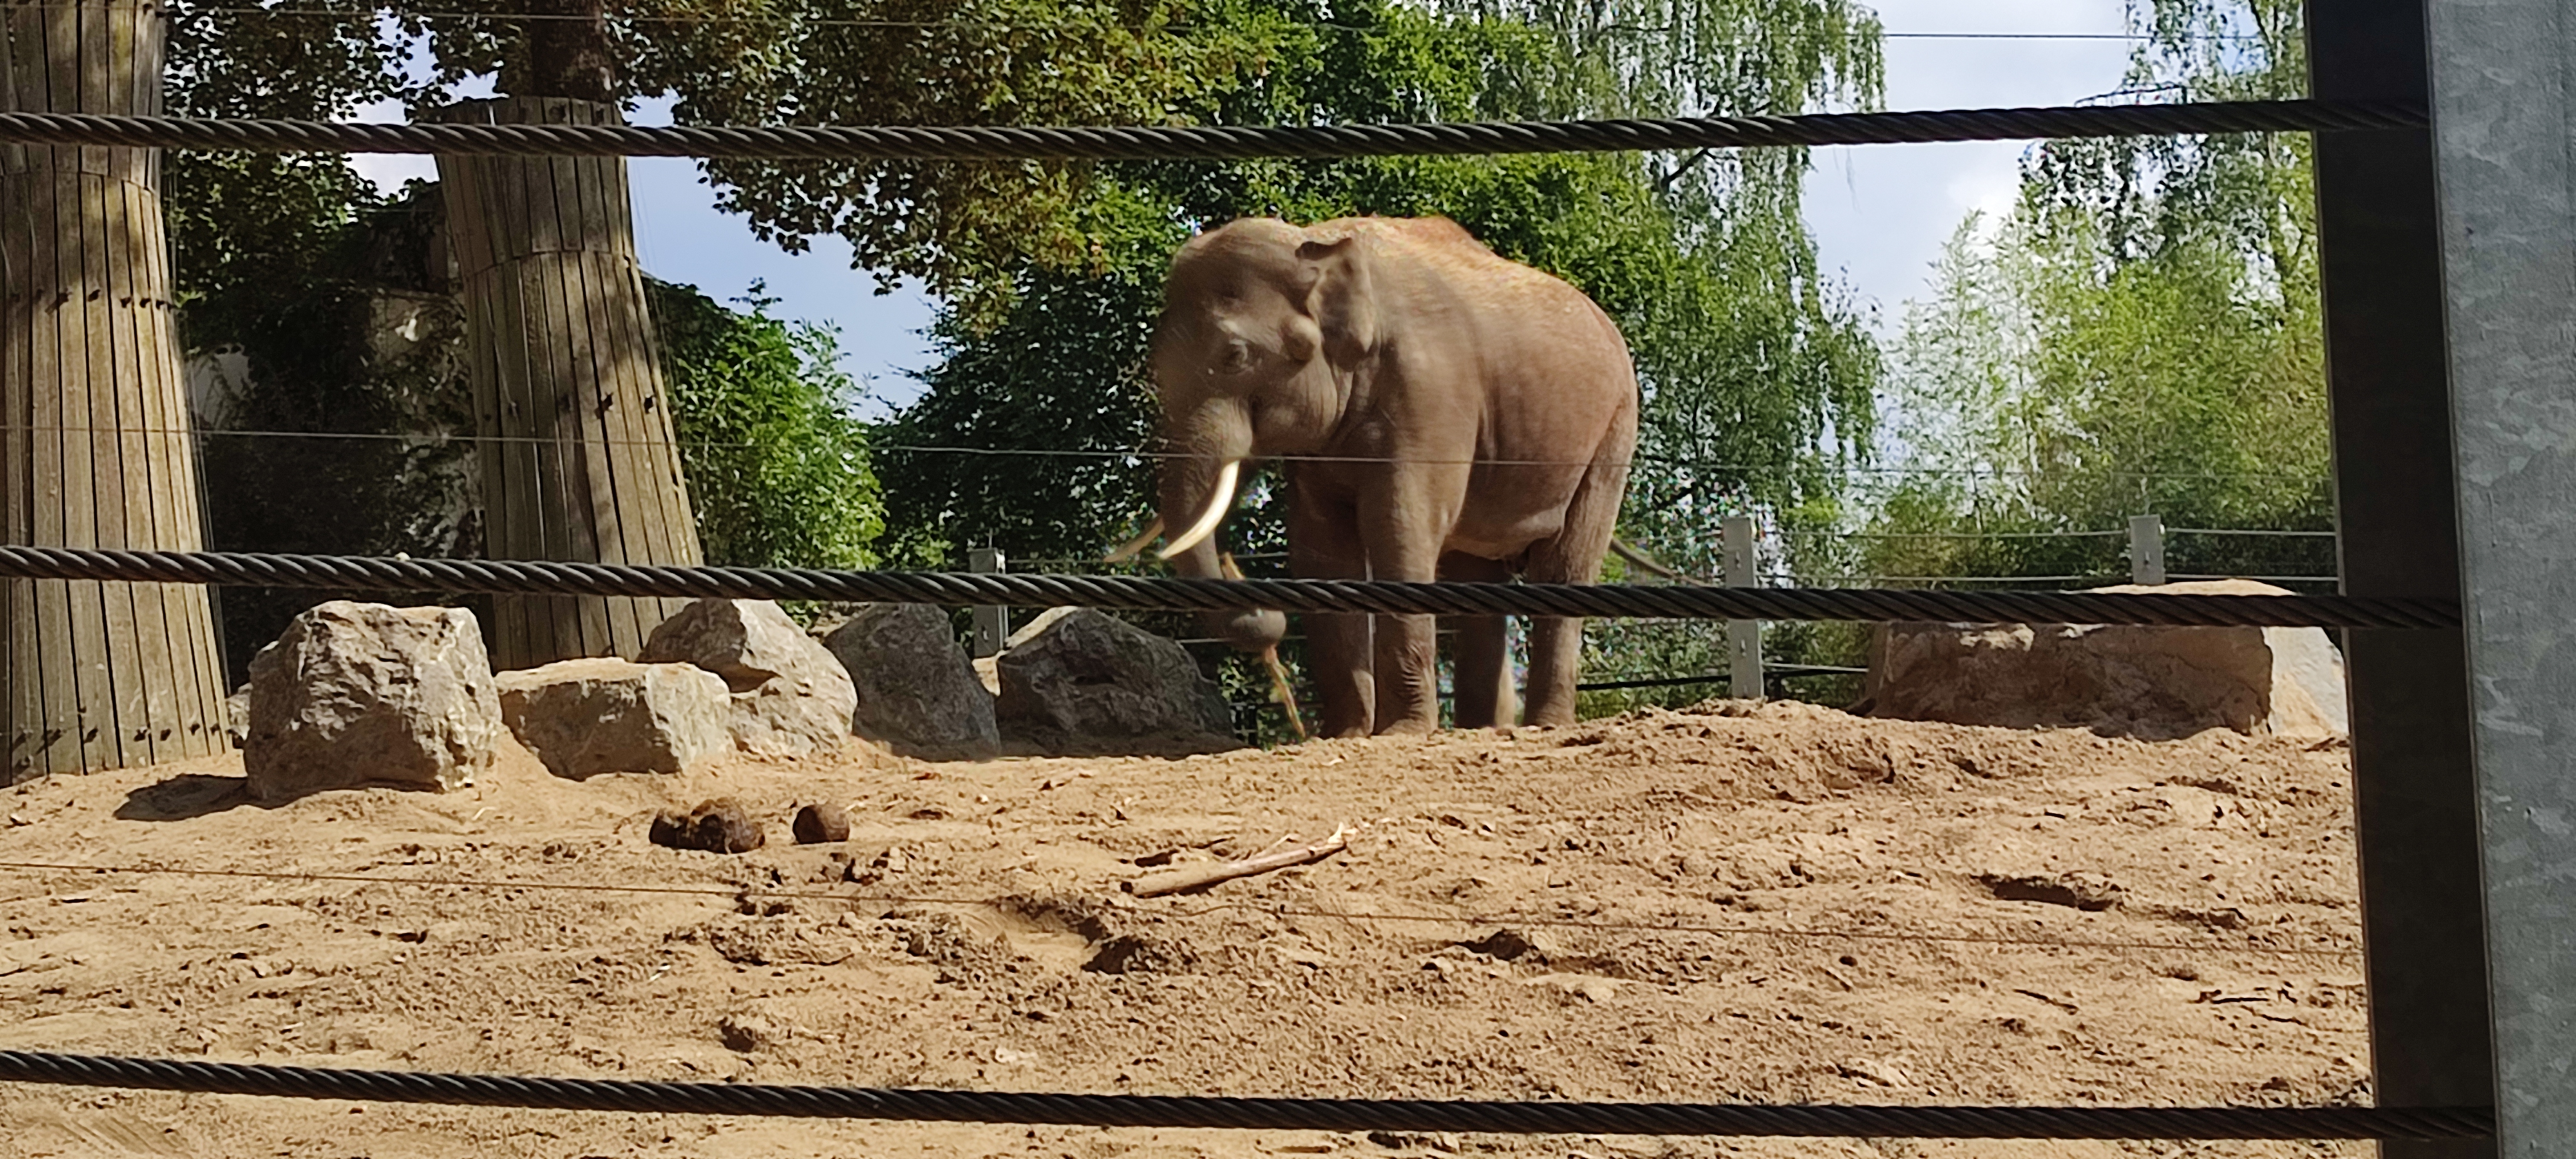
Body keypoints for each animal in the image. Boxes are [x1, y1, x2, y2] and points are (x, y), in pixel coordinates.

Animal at [1137, 215, 1639, 737]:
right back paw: (1479, 730)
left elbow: (1399, 524)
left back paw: (1545, 726)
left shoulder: (1429, 391)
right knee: (1477, 577)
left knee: (1565, 564)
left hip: (1615, 431)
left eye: (1235, 356)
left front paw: (1404, 731)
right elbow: (1321, 545)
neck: (1318, 246)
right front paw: (1347, 734)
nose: (1267, 614)